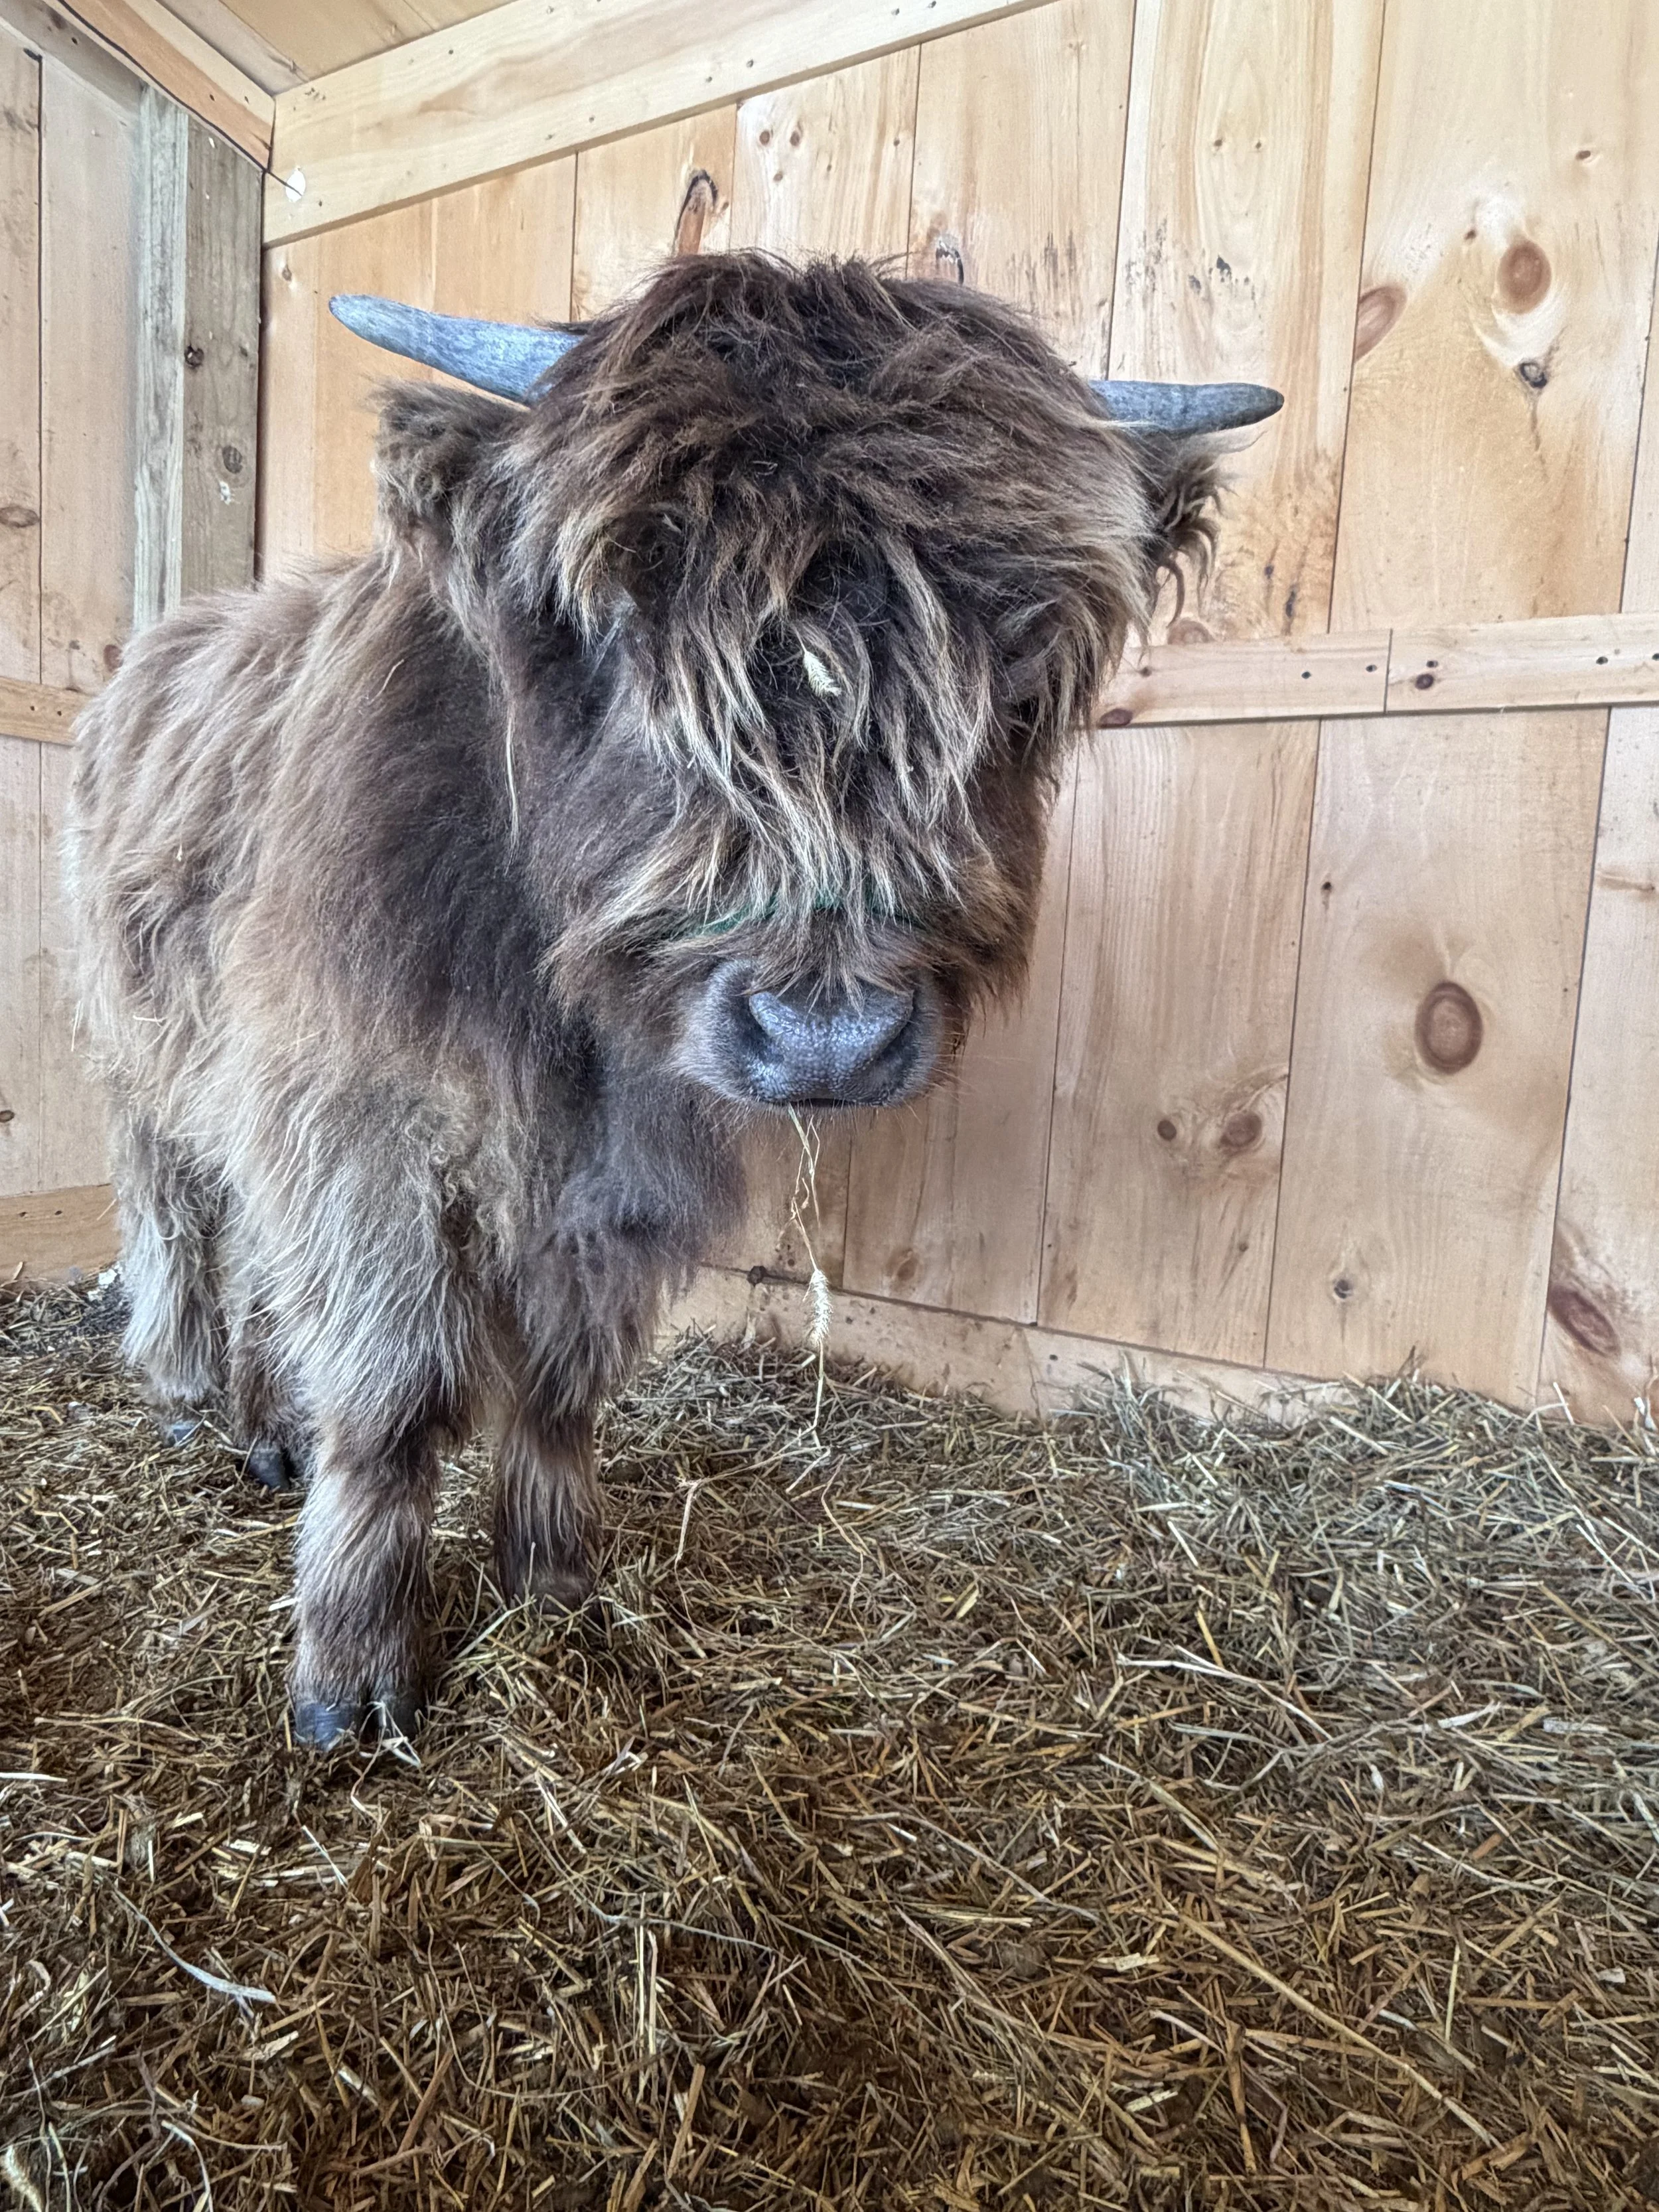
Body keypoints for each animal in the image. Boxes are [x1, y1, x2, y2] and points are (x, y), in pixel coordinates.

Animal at [65, 252, 1277, 1746]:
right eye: (624, 641)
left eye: (1012, 685)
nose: (831, 1035)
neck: (555, 991)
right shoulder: (360, 1119)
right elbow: (395, 1393)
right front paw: (353, 1677)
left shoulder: (611, 1168)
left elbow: (562, 1382)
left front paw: (555, 1587)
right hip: (142, 1050)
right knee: (175, 1208)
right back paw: (193, 1399)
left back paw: (266, 1425)